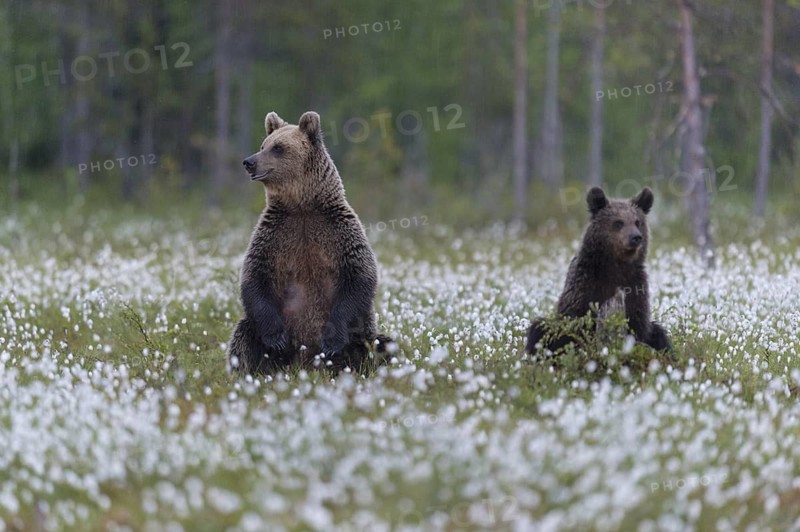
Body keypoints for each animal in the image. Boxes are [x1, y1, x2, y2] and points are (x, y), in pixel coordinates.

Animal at [228, 110, 391, 374]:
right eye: (263, 145)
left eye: (278, 147)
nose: (249, 162)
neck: (301, 205)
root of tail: (307, 363)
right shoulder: (273, 233)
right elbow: (255, 276)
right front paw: (277, 338)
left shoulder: (339, 230)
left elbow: (359, 276)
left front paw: (331, 340)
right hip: (259, 334)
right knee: (244, 337)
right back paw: (255, 371)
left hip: (360, 336)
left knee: (380, 345)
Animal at [526, 186, 671, 356]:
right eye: (618, 222)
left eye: (637, 222)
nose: (636, 237)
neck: (616, 265)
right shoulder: (586, 285)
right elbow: (577, 322)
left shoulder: (635, 285)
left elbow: (639, 325)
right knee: (540, 329)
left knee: (659, 333)